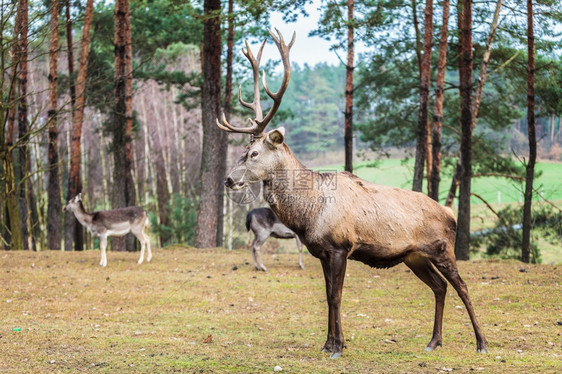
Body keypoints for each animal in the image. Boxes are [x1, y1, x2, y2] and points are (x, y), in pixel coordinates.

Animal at [217, 28, 484, 356]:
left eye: (254, 153)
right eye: (243, 151)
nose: (229, 179)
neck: (310, 213)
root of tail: (449, 213)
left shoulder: (340, 246)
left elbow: (336, 296)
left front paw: (338, 346)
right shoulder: (321, 251)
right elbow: (328, 294)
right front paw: (326, 343)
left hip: (443, 247)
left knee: (462, 286)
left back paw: (481, 342)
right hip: (415, 256)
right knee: (440, 286)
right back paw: (433, 341)